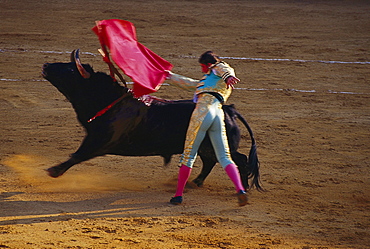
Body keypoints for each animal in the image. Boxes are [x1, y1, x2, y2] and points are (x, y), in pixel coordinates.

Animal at [42, 50, 262, 191]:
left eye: (70, 70)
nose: (46, 65)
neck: (111, 101)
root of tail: (228, 109)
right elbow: (77, 155)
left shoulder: (99, 141)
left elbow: (77, 155)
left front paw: (53, 171)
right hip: (205, 145)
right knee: (211, 161)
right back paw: (195, 182)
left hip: (222, 144)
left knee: (239, 160)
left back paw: (242, 187)